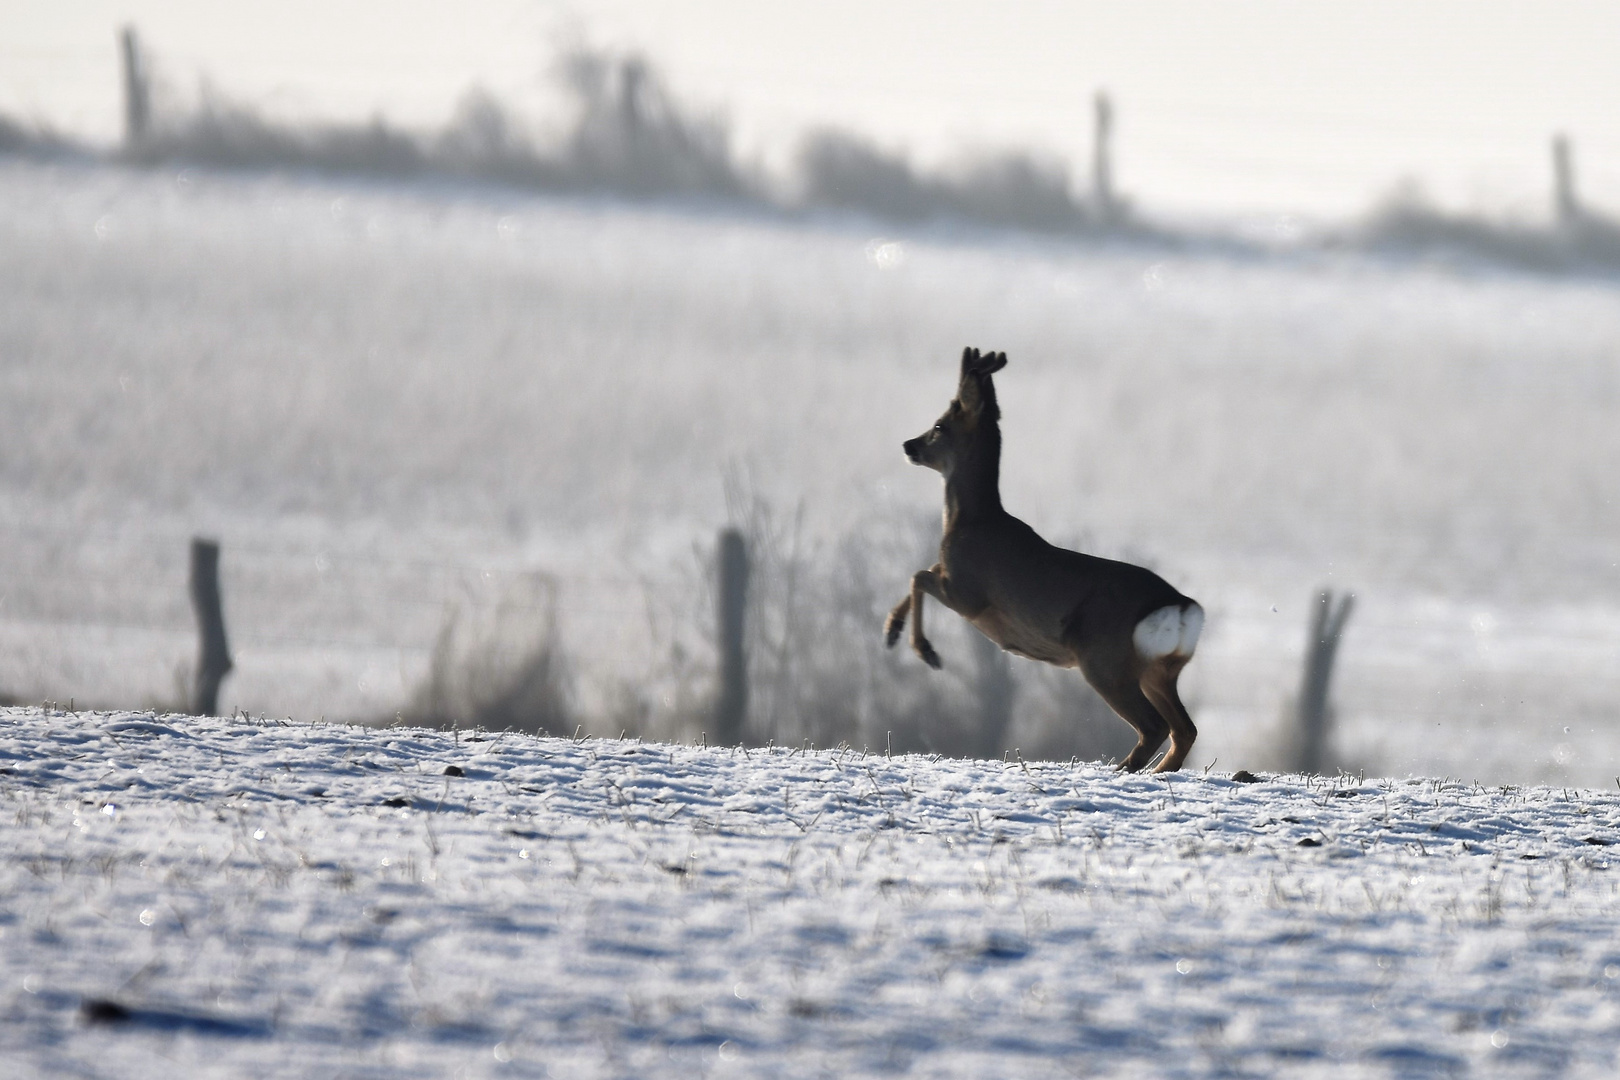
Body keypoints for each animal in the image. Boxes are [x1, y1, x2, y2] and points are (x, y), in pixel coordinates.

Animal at [887, 351, 1205, 773]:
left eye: (939, 426)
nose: (909, 445)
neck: (970, 520)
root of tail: (1182, 606)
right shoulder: (952, 579)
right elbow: (921, 573)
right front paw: (892, 630)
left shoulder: (969, 594)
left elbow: (918, 574)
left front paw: (925, 650)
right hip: (1159, 670)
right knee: (1184, 729)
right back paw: (1155, 771)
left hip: (1104, 660)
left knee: (1154, 726)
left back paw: (1123, 768)